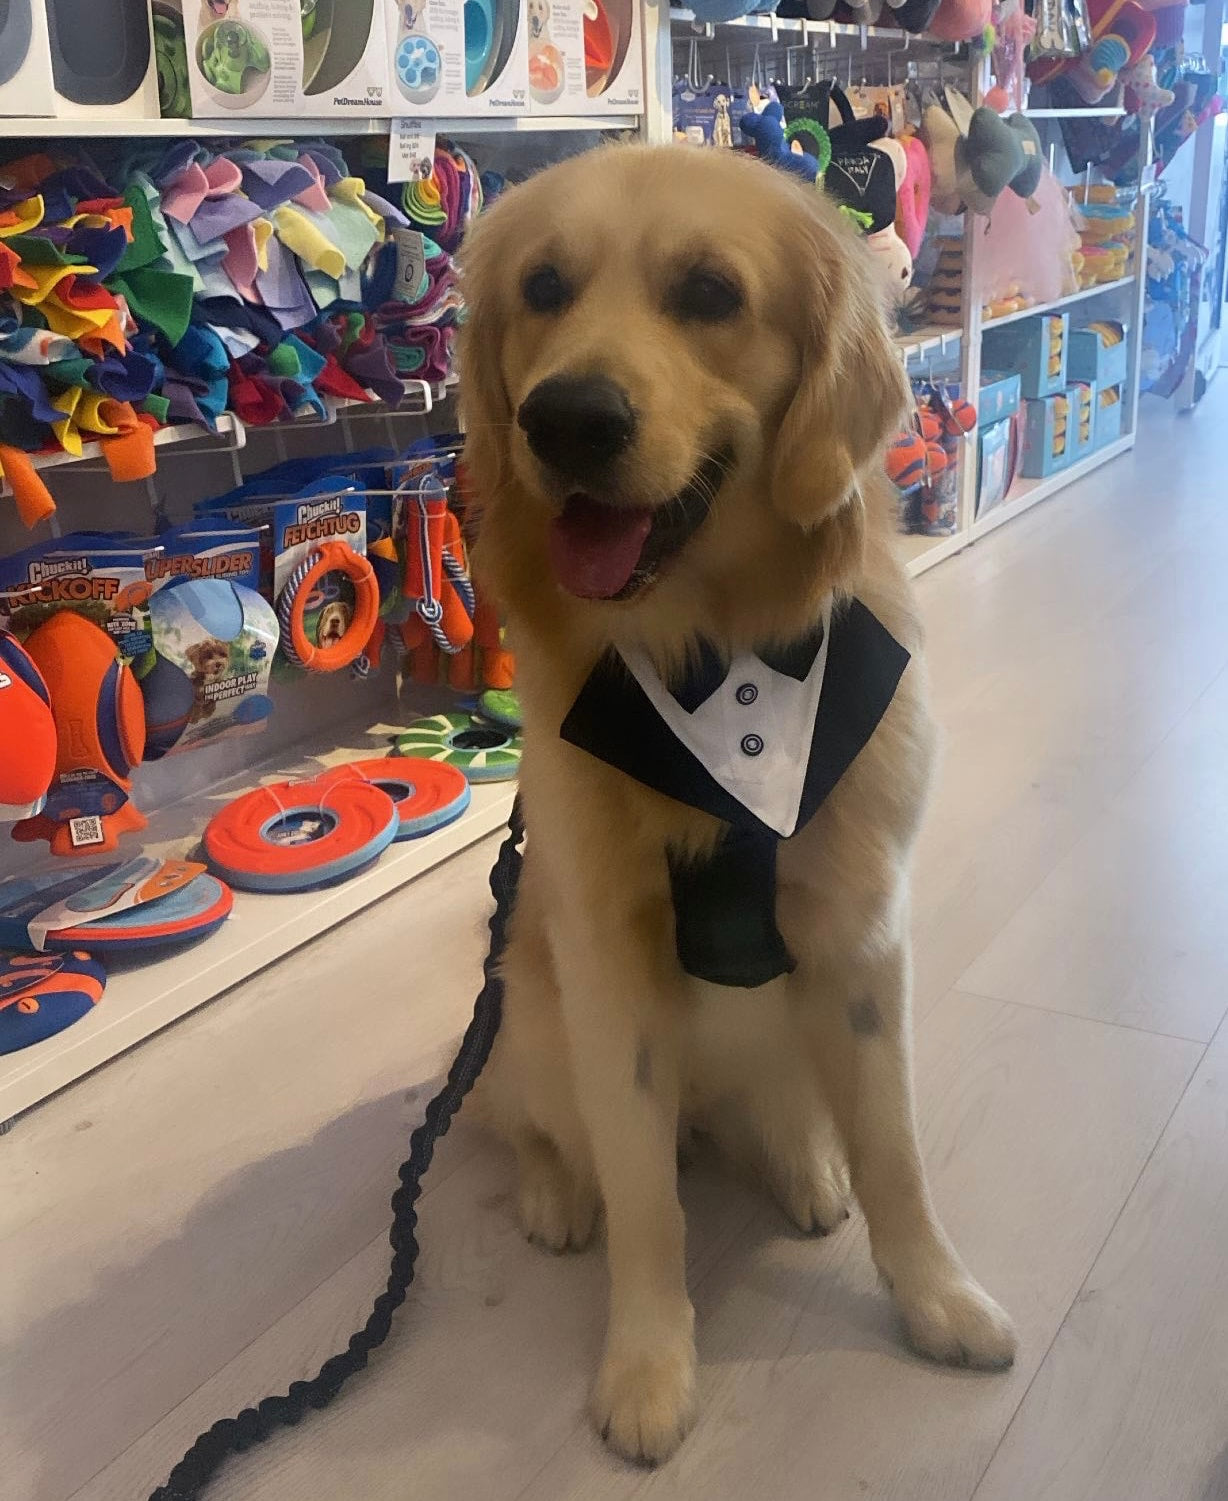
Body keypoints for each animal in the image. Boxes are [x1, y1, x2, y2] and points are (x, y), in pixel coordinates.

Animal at [453, 149, 1008, 1464]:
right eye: (542, 287)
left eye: (709, 293)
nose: (565, 419)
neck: (713, 654)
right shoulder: (608, 974)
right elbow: (646, 1201)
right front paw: (648, 1366)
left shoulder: (862, 943)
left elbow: (898, 1154)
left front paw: (935, 1296)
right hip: (529, 1006)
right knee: (526, 1122)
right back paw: (554, 1190)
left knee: (788, 1112)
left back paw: (806, 1164)